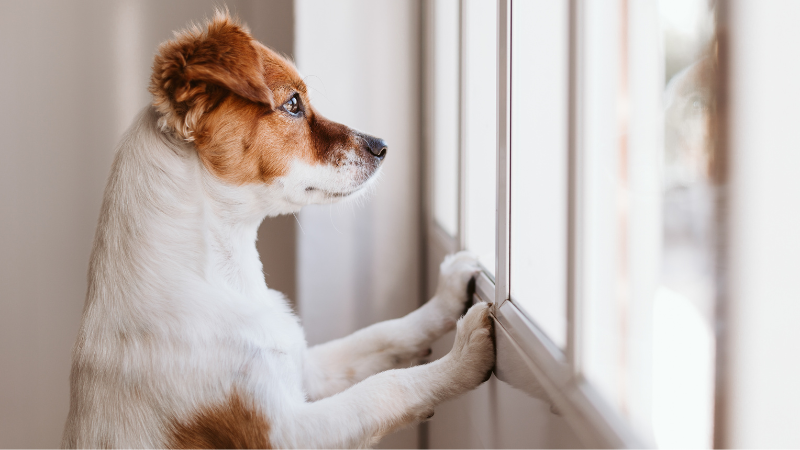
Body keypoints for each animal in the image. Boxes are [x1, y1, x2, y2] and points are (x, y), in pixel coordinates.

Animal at [62, 10, 494, 450]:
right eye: (292, 104)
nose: (382, 146)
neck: (224, 277)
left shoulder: (305, 368)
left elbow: (383, 335)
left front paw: (447, 296)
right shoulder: (285, 432)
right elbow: (385, 388)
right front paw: (463, 357)